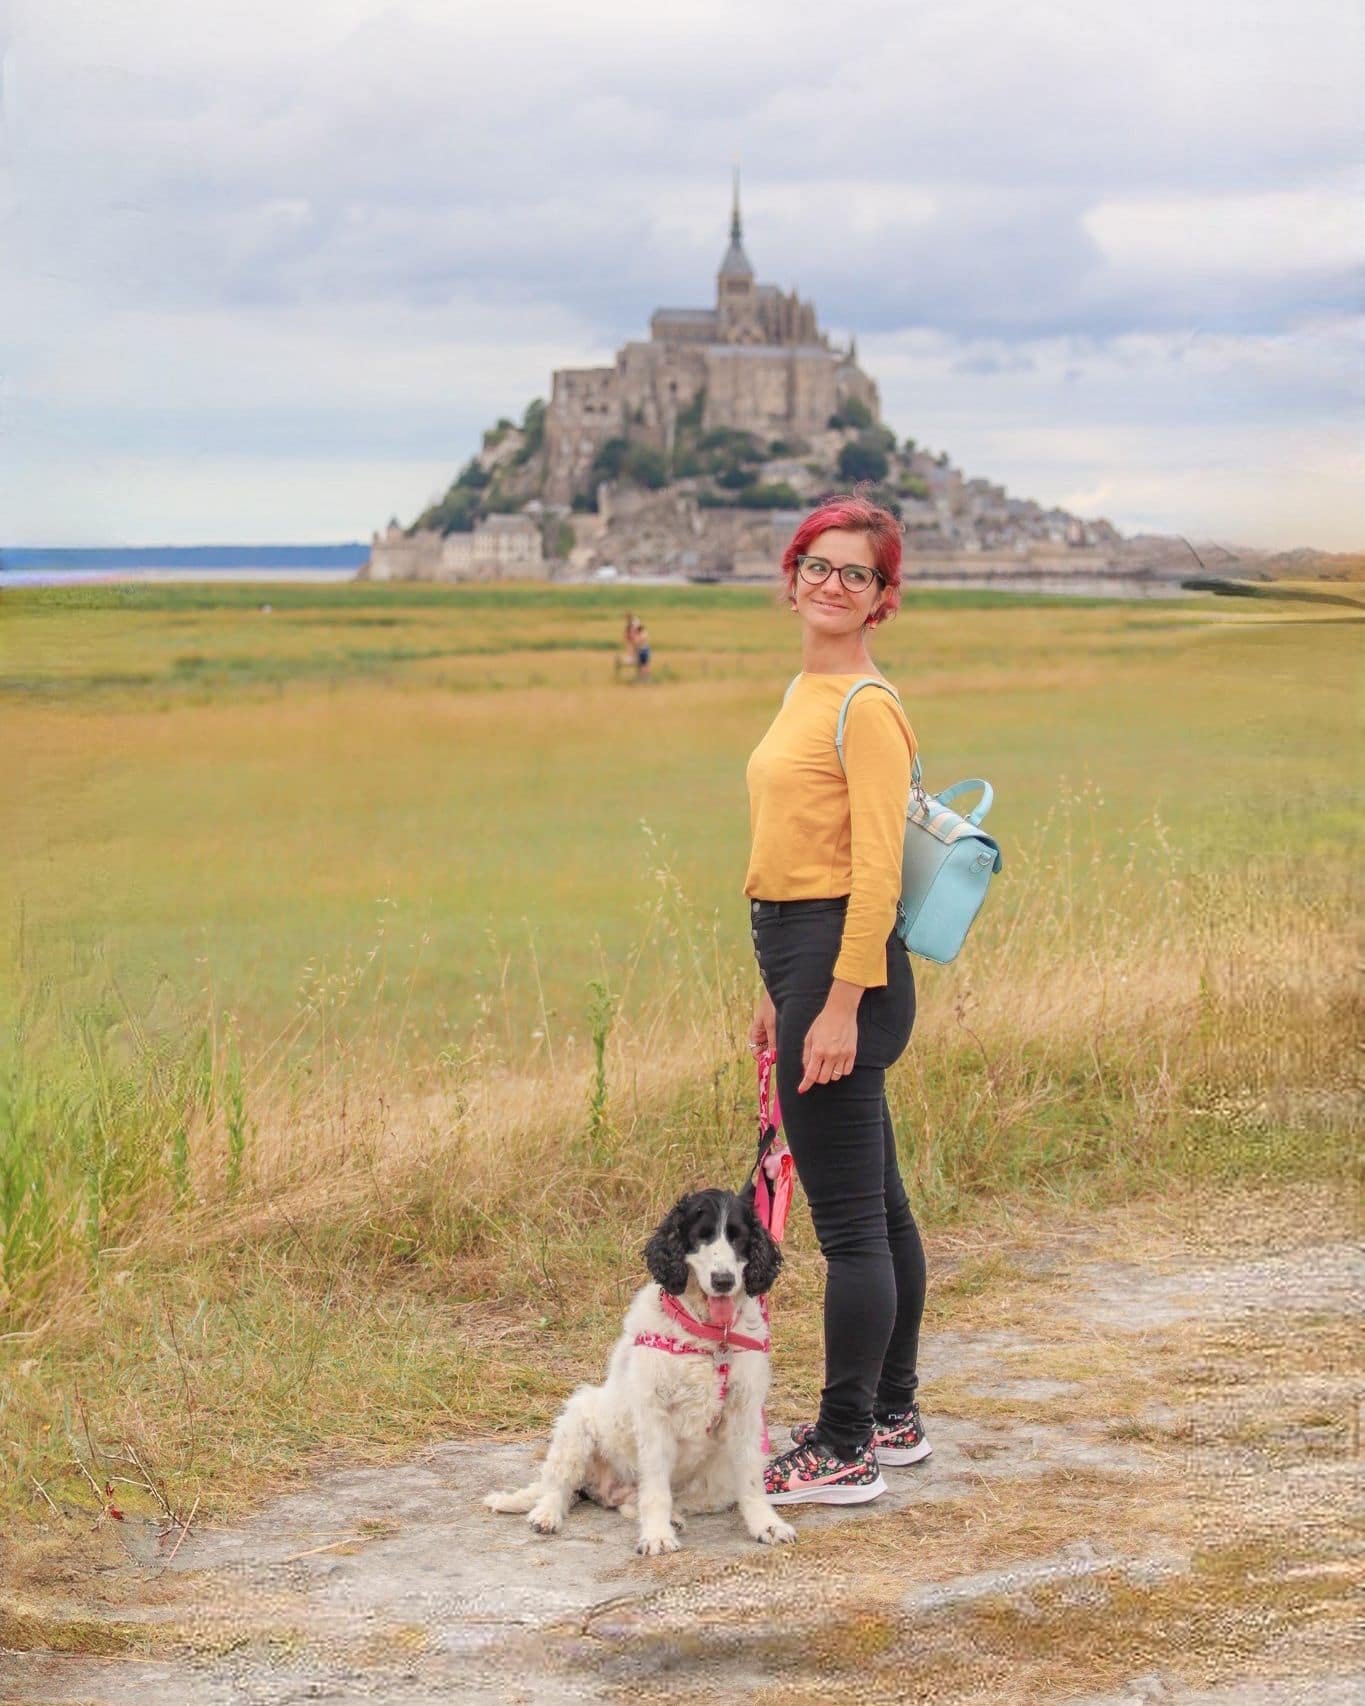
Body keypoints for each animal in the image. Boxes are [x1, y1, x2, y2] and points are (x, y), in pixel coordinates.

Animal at [484, 1194, 795, 1555]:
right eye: (701, 1235)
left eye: (738, 1237)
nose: (723, 1281)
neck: (708, 1336)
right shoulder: (655, 1414)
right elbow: (656, 1487)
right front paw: (657, 1536)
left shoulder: (744, 1411)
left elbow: (752, 1480)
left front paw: (767, 1525)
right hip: (577, 1419)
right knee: (558, 1486)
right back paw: (545, 1514)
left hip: (714, 1482)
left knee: (635, 1502)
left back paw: (669, 1515)